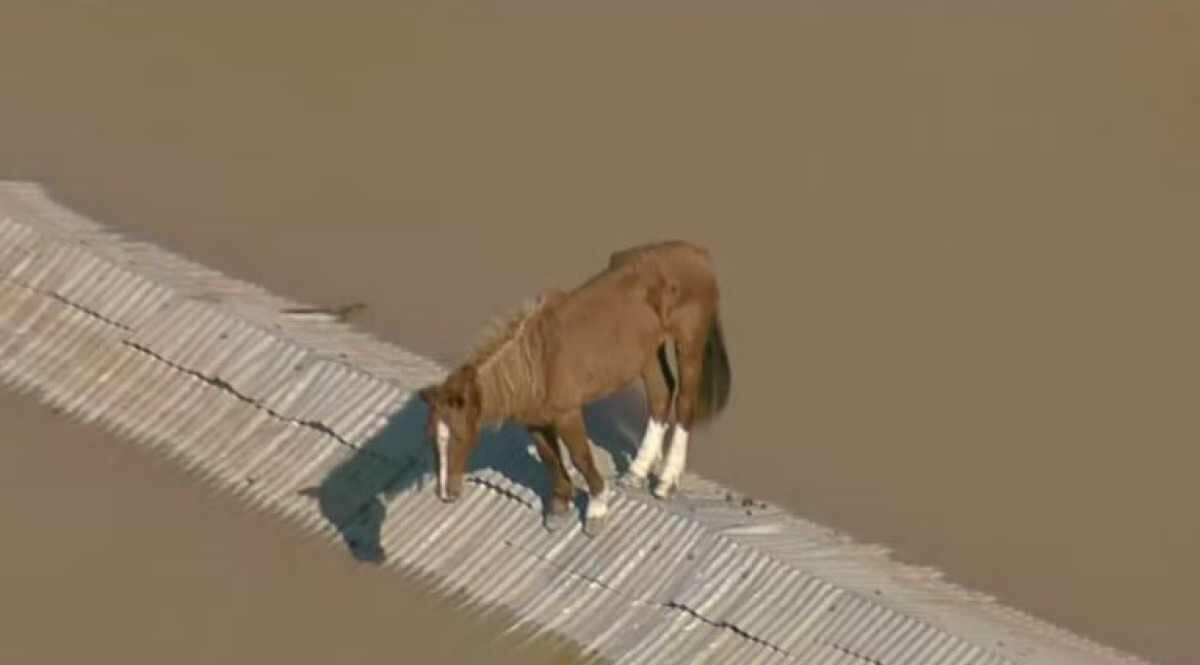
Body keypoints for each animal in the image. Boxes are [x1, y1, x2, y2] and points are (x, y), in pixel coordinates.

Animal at [420, 237, 729, 532]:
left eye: (459, 436)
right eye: (432, 438)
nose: (445, 493)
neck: (537, 364)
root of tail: (699, 254)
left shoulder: (567, 414)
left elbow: (581, 457)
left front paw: (596, 510)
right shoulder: (535, 422)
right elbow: (550, 458)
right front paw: (559, 508)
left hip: (688, 344)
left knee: (685, 404)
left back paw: (666, 481)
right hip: (649, 352)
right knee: (660, 396)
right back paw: (637, 472)